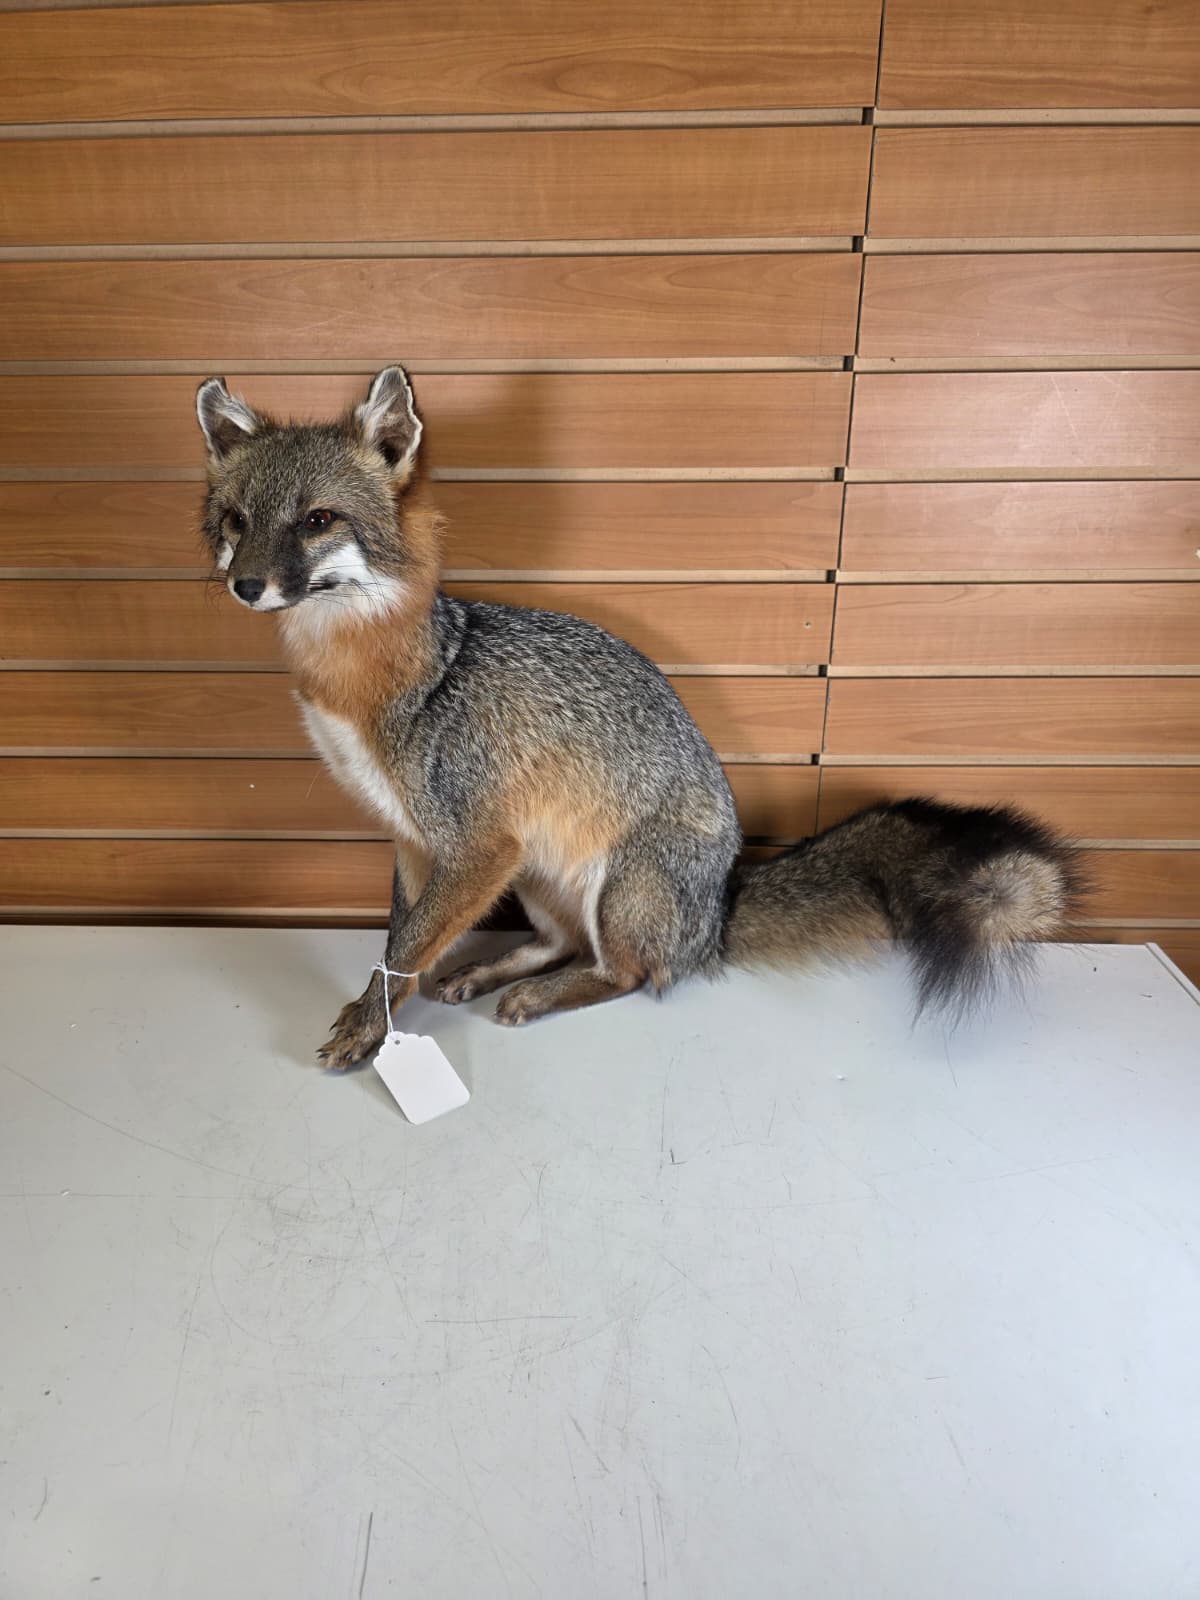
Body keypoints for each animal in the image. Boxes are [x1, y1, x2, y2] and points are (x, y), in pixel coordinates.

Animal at [196, 366, 1080, 1069]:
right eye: (237, 520)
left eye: (317, 520)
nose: (245, 586)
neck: (377, 682)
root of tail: (719, 907)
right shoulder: (416, 841)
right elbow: (398, 950)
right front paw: (384, 1019)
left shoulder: (476, 844)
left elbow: (410, 946)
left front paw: (369, 1030)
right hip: (541, 870)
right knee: (562, 943)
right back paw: (488, 972)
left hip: (614, 884)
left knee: (635, 973)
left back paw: (544, 994)